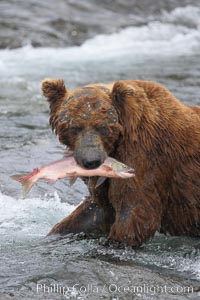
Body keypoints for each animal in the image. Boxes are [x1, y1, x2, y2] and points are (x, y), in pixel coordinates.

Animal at [41, 79, 200, 246]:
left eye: (102, 127)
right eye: (74, 127)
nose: (91, 161)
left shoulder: (144, 156)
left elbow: (136, 211)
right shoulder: (103, 179)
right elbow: (95, 212)